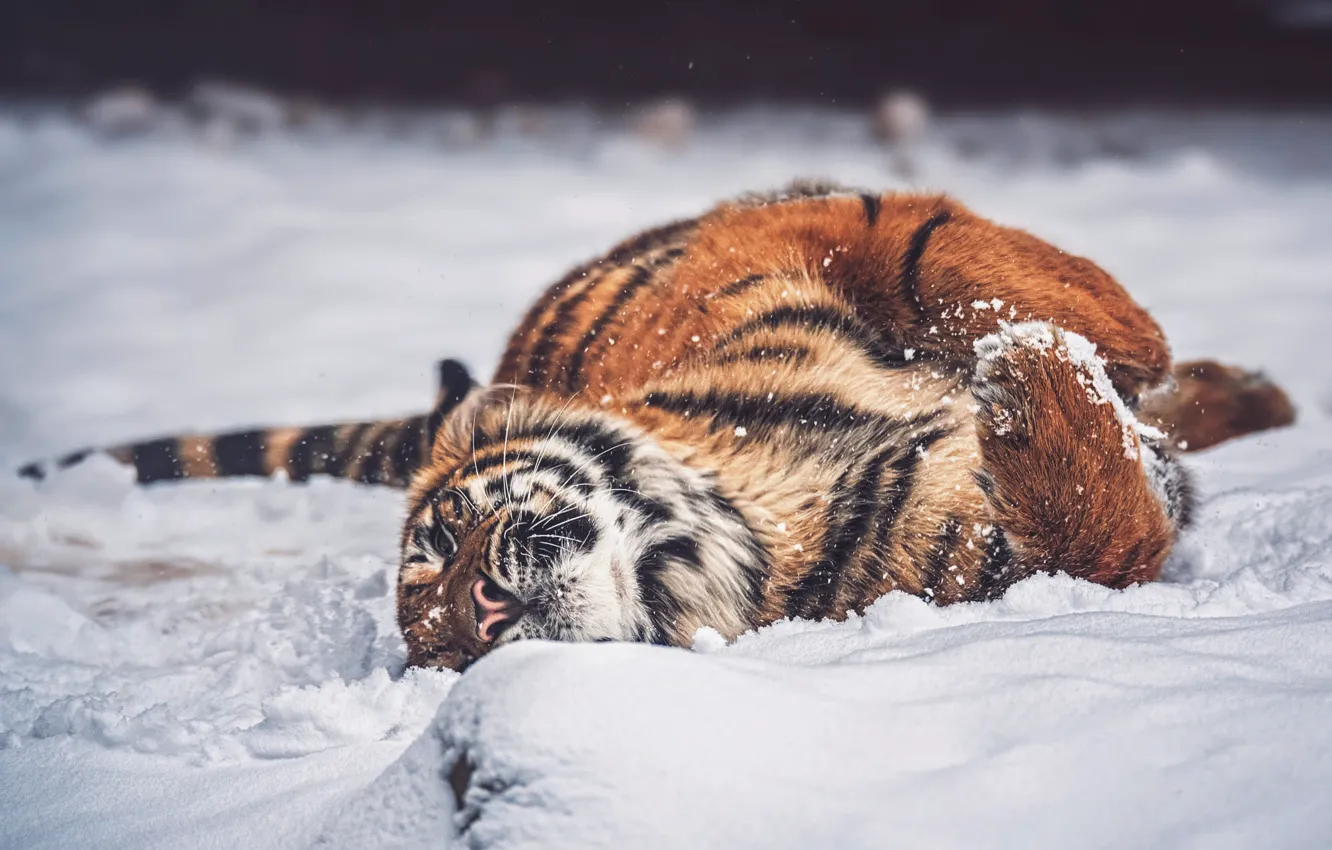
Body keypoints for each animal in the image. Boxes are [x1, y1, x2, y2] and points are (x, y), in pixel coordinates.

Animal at [18, 183, 1296, 672]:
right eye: (441, 648)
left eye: (439, 545)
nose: (483, 614)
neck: (745, 515)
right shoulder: (989, 563)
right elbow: (1112, 525)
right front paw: (1033, 383)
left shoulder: (786, 240)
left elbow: (957, 255)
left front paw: (1066, 349)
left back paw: (1245, 392)